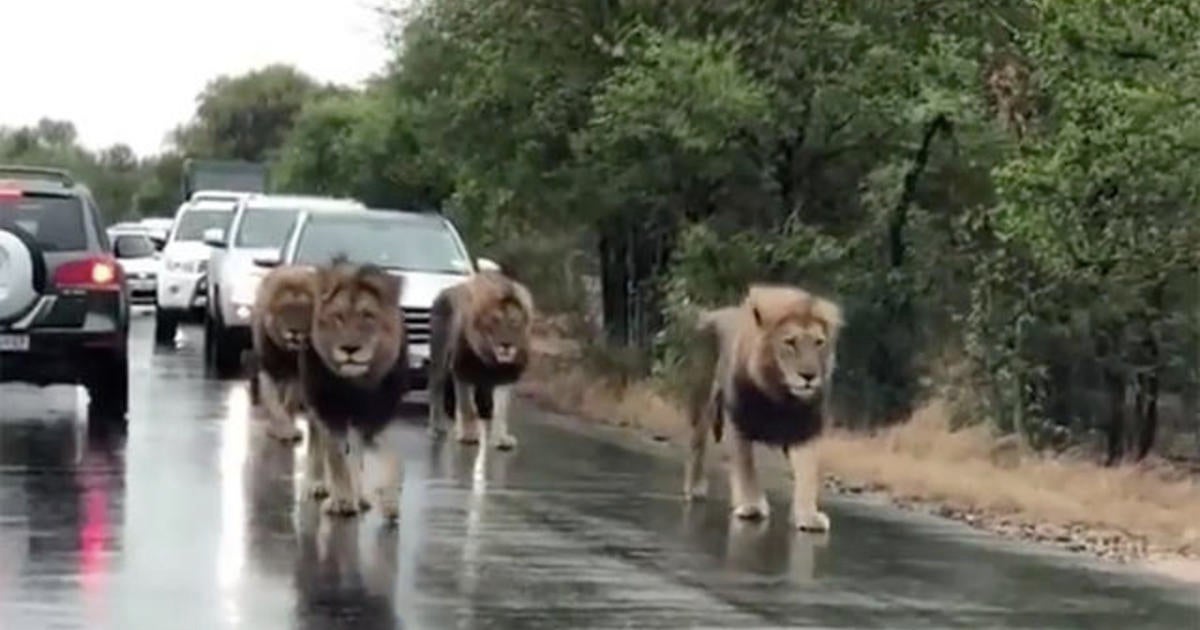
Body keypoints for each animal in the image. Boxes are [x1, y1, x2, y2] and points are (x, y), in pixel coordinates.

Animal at [248, 264, 319, 441]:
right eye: (284, 313)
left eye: (304, 312)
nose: (294, 331)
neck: (288, 352)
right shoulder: (268, 367)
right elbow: (273, 402)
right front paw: (281, 430)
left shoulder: (297, 372)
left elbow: (291, 401)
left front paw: (290, 429)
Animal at [302, 258, 410, 518]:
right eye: (338, 317)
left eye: (368, 316)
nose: (350, 349)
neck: (357, 383)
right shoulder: (328, 410)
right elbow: (335, 456)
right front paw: (341, 500)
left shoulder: (373, 416)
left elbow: (383, 456)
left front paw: (388, 498)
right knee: (317, 441)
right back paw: (317, 484)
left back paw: (360, 495)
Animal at [424, 267, 532, 448]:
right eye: (494, 321)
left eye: (514, 322)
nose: (506, 344)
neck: (491, 359)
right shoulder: (462, 371)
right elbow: (467, 407)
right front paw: (468, 435)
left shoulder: (506, 378)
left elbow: (500, 412)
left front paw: (501, 439)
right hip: (440, 360)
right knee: (436, 393)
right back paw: (436, 428)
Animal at [681, 283, 840, 530]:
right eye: (790, 342)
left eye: (818, 342)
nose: (809, 376)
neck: (779, 394)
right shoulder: (739, 421)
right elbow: (746, 466)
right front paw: (751, 505)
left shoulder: (805, 429)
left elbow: (808, 473)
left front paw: (808, 516)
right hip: (702, 399)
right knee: (696, 445)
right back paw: (695, 488)